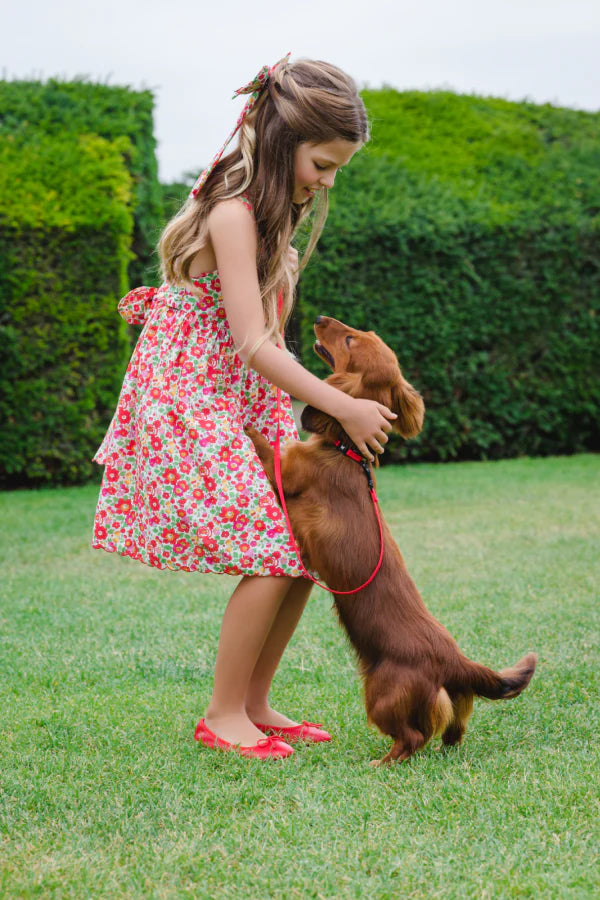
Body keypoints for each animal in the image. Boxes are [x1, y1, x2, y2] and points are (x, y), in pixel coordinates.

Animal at [246, 316, 536, 768]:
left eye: (350, 340)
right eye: (359, 333)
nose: (318, 319)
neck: (345, 451)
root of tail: (455, 660)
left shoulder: (288, 474)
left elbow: (266, 445)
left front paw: (244, 425)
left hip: (380, 694)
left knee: (412, 738)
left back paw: (381, 762)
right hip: (452, 702)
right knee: (452, 730)